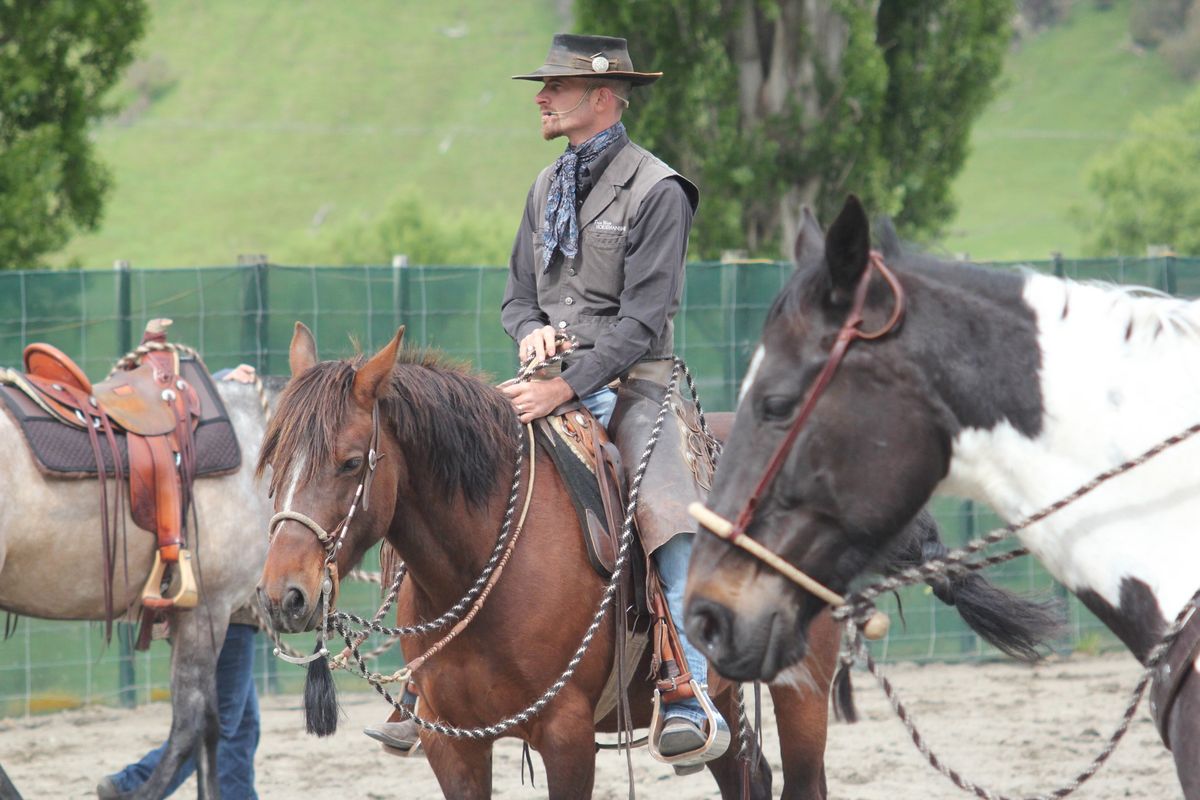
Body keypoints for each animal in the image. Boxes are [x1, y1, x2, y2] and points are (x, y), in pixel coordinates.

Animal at [258, 321, 1056, 796]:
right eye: (270, 458)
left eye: (351, 462)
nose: (283, 596)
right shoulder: (451, 744)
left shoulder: (566, 736)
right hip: (728, 702)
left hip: (801, 688)